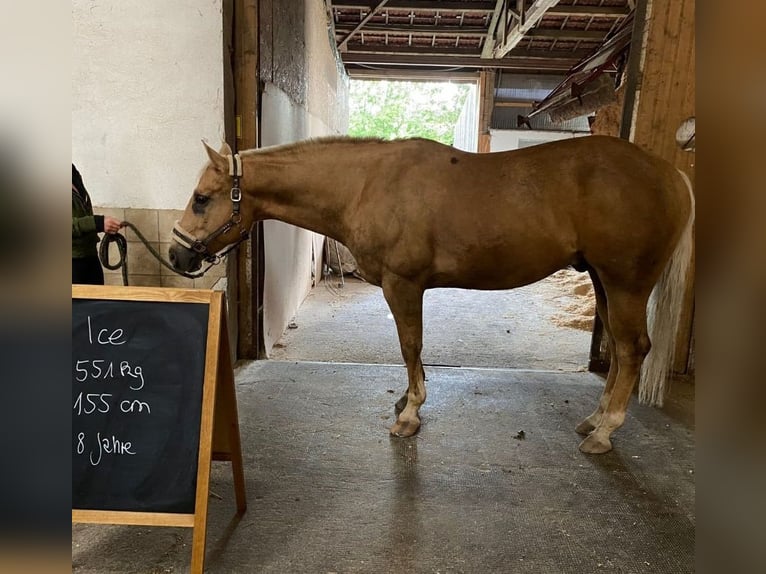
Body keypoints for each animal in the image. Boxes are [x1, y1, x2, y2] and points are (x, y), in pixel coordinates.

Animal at [172, 136, 696, 454]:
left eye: (201, 198)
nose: (178, 257)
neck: (365, 185)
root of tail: (671, 174)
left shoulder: (403, 284)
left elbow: (410, 345)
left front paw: (409, 415)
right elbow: (412, 350)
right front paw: (407, 400)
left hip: (626, 284)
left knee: (632, 350)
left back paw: (605, 431)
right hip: (604, 283)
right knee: (621, 350)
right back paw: (594, 419)